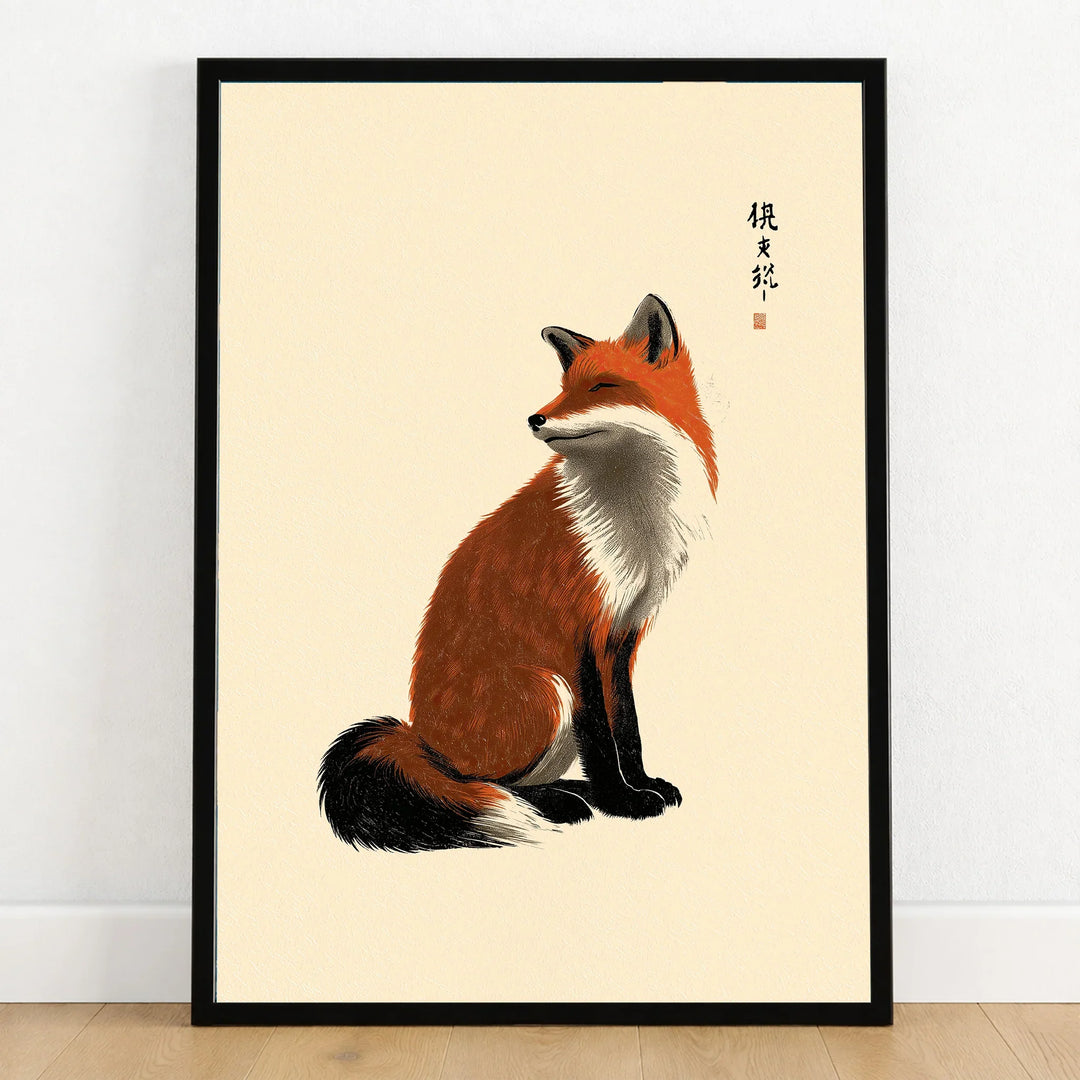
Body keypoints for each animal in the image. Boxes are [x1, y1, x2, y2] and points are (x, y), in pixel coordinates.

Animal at [318, 294, 718, 851]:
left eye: (601, 387)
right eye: (565, 386)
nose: (536, 417)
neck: (633, 516)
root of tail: (419, 738)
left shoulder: (624, 632)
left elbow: (628, 727)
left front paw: (639, 785)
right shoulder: (577, 632)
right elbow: (602, 738)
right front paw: (624, 802)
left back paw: (571, 793)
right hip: (547, 691)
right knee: (479, 785)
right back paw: (561, 803)